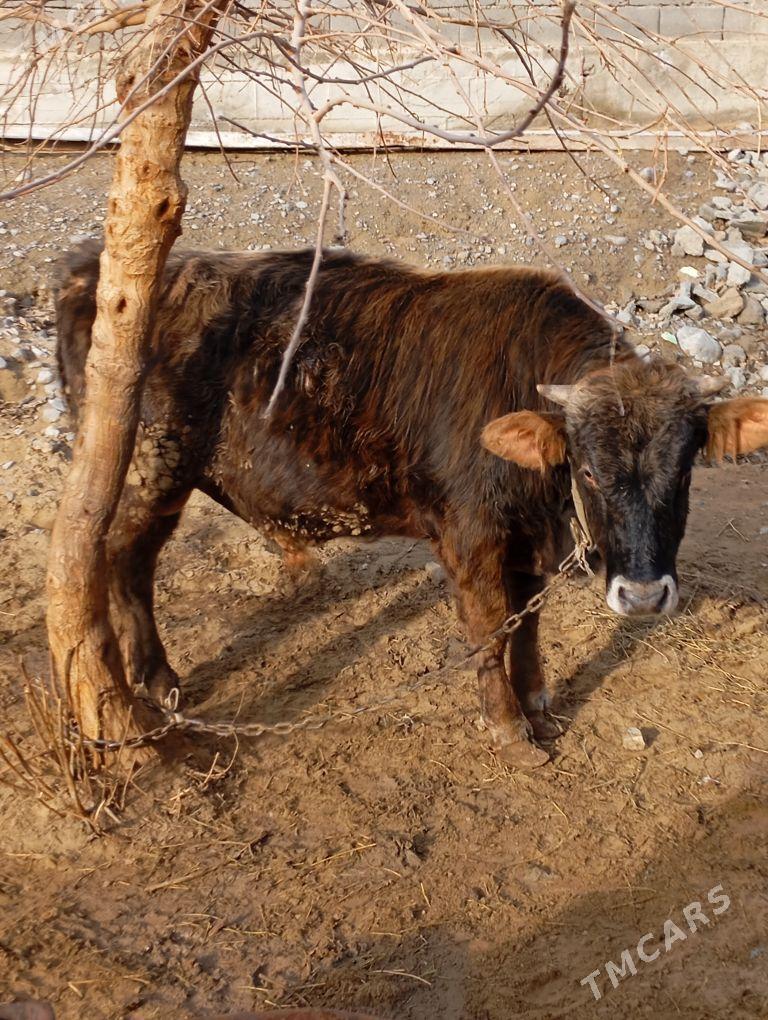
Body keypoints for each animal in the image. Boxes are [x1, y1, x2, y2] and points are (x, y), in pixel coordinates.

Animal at [54, 241, 768, 769]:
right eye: (589, 472)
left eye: (684, 471)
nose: (644, 598)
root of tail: (93, 272)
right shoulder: (469, 541)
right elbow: (489, 633)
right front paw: (509, 732)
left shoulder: (525, 545)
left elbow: (527, 627)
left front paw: (538, 708)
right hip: (151, 475)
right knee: (123, 559)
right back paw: (153, 681)